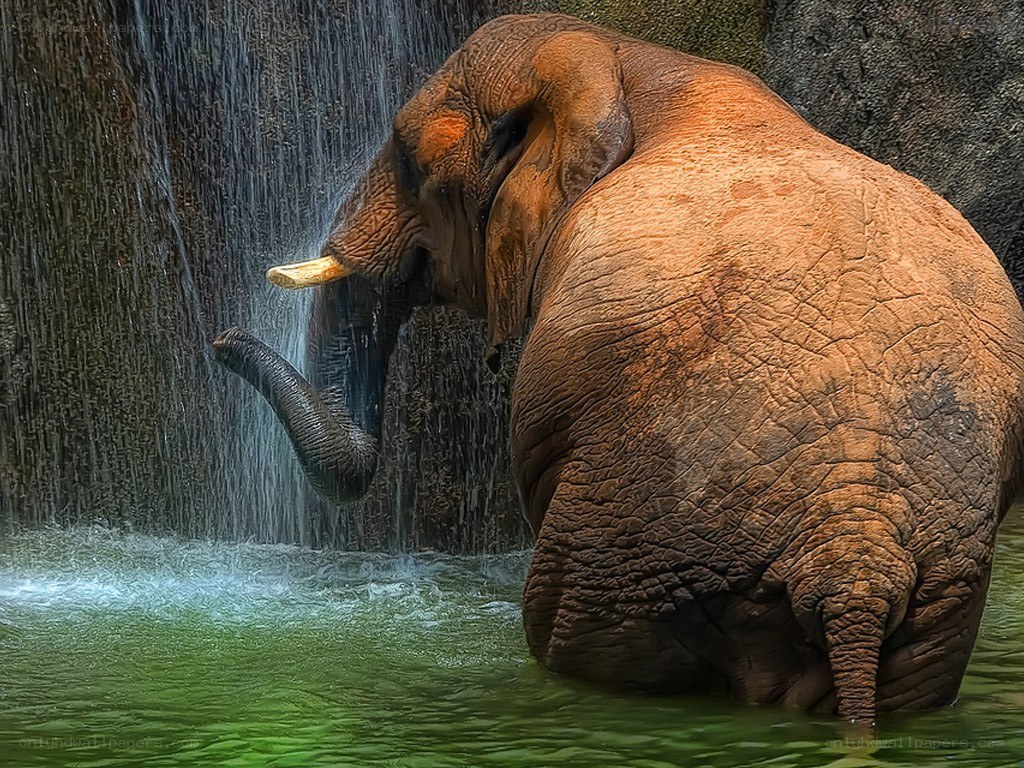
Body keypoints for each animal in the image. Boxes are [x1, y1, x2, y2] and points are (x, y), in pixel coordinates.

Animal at [213, 13, 1024, 723]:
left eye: (411, 159)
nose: (221, 340)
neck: (627, 58)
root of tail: (855, 558)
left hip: (632, 540)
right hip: (941, 598)